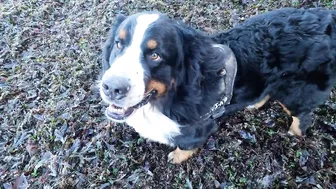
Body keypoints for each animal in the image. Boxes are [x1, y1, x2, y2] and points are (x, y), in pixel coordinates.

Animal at [99, 8, 336, 163]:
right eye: (118, 44)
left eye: (155, 55)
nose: (111, 88)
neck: (169, 98)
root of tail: (328, 19)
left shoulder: (199, 128)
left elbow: (187, 145)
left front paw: (178, 157)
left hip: (298, 93)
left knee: (302, 116)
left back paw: (294, 135)